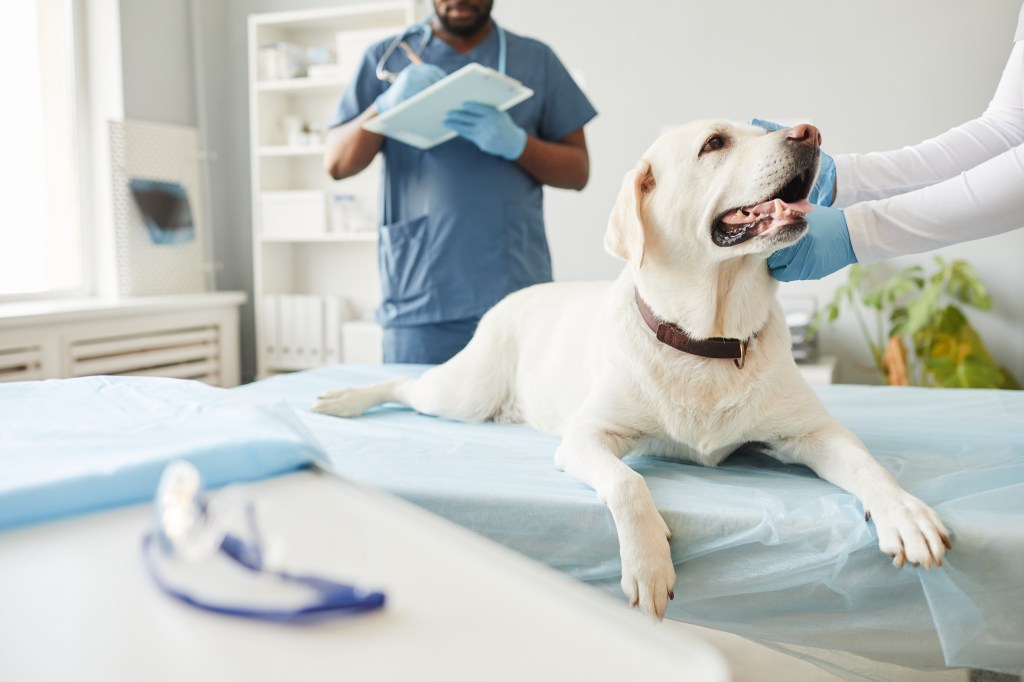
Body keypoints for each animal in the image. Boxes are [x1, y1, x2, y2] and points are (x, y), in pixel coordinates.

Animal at [313, 119, 950, 618]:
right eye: (715, 142)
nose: (811, 132)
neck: (706, 340)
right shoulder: (586, 436)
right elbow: (627, 481)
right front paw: (649, 564)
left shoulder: (812, 432)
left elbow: (868, 466)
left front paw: (905, 514)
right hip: (464, 393)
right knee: (404, 382)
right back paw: (340, 398)